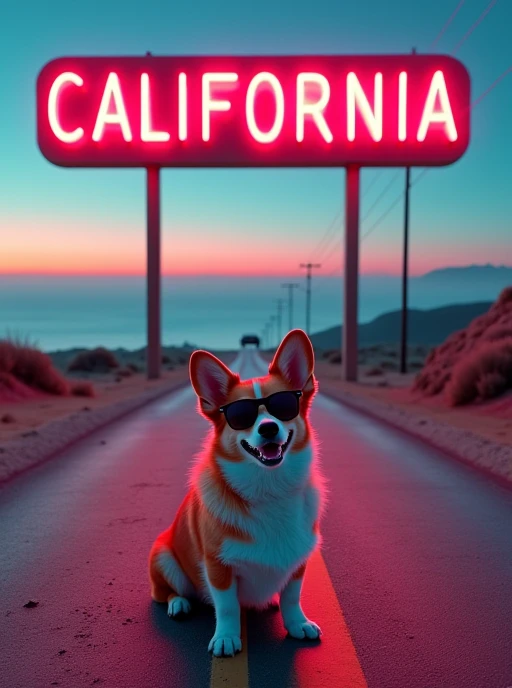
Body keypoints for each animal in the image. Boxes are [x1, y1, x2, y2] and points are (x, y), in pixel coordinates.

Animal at [148, 330, 326, 660]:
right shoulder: (218, 566)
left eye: (284, 405)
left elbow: (292, 597)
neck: (269, 488)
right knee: (165, 592)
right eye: (240, 415)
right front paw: (226, 639)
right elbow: (228, 607)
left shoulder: (298, 561)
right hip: (164, 557)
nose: (268, 428)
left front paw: (297, 624)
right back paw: (179, 604)